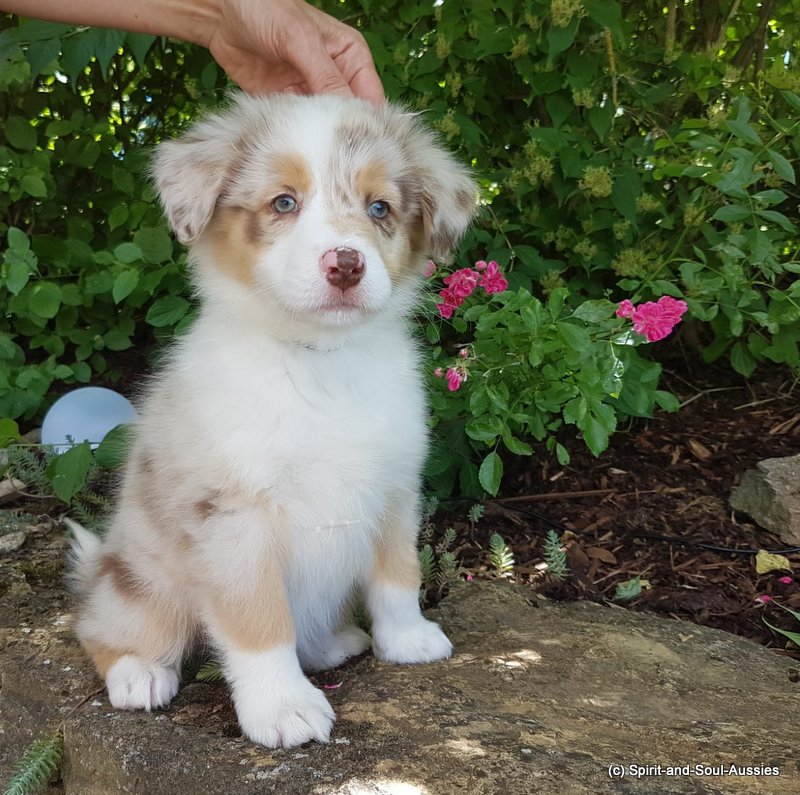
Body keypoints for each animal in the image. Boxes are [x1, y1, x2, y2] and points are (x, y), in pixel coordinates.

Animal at [67, 90, 476, 748]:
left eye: (380, 207)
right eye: (284, 202)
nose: (345, 264)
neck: (318, 361)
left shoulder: (395, 487)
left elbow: (398, 575)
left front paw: (407, 640)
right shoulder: (233, 516)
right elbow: (260, 622)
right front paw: (283, 708)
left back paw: (332, 642)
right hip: (140, 583)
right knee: (104, 627)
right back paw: (139, 673)